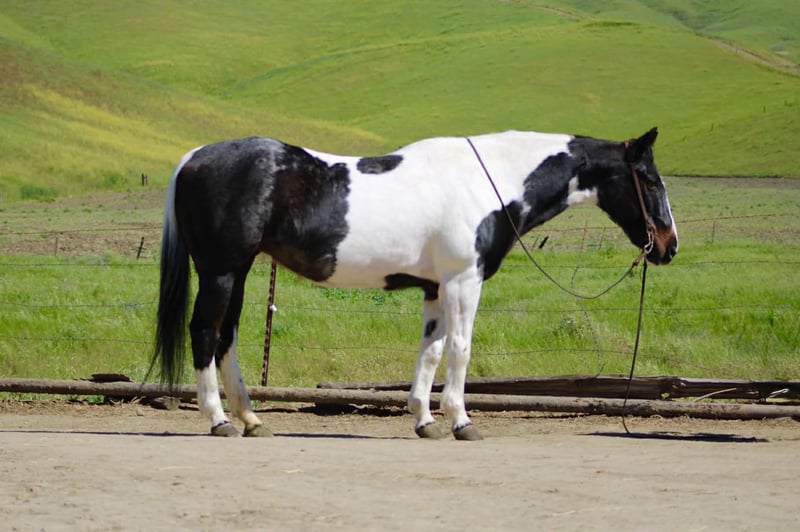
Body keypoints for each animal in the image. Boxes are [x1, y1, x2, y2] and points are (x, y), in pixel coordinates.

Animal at [152, 127, 678, 440]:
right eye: (651, 180)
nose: (669, 246)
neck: (489, 179)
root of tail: (194, 156)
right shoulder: (464, 280)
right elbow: (461, 348)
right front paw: (461, 421)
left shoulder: (435, 287)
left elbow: (431, 350)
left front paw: (425, 419)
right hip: (220, 270)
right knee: (205, 332)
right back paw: (218, 419)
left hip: (238, 271)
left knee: (227, 337)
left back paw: (250, 417)